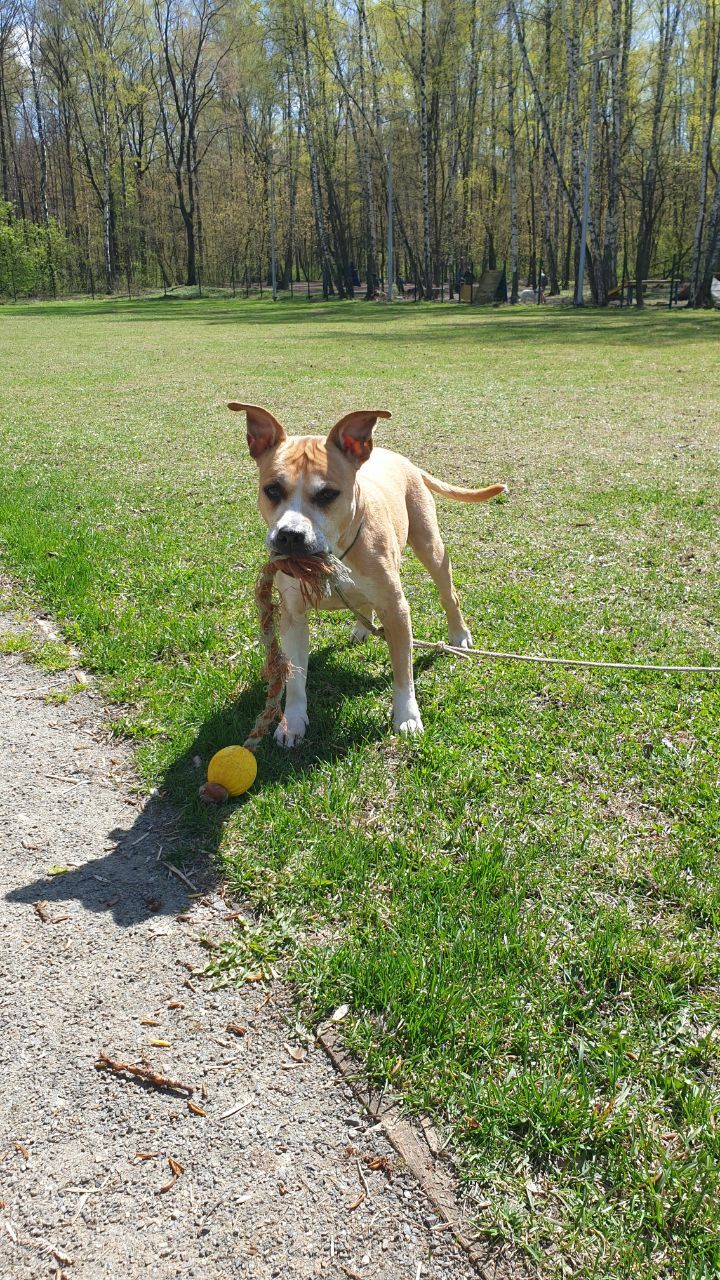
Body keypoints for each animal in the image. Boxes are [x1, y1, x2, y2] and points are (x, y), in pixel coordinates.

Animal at [229, 401, 504, 747]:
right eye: (272, 490)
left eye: (327, 494)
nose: (290, 535)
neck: (333, 557)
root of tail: (401, 459)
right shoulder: (293, 616)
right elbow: (296, 677)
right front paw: (292, 722)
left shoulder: (396, 610)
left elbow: (403, 673)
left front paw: (407, 717)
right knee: (363, 602)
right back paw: (363, 627)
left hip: (431, 547)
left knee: (448, 594)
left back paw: (458, 634)